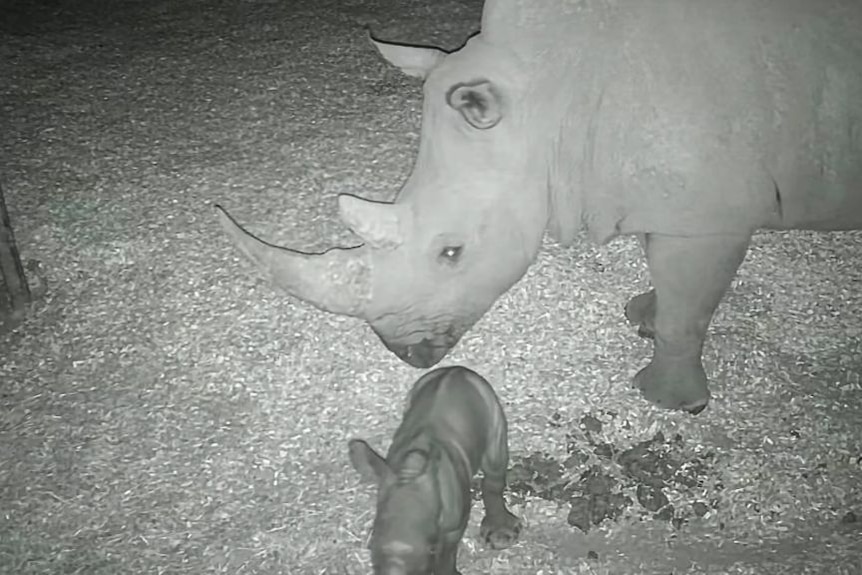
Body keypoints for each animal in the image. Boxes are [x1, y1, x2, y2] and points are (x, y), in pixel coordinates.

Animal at [218, 0, 862, 414]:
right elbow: (668, 278)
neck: (551, 94)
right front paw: (643, 317)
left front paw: (669, 401)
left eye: (451, 252)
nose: (403, 353)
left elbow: (690, 306)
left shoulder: (710, 217)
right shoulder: (671, 196)